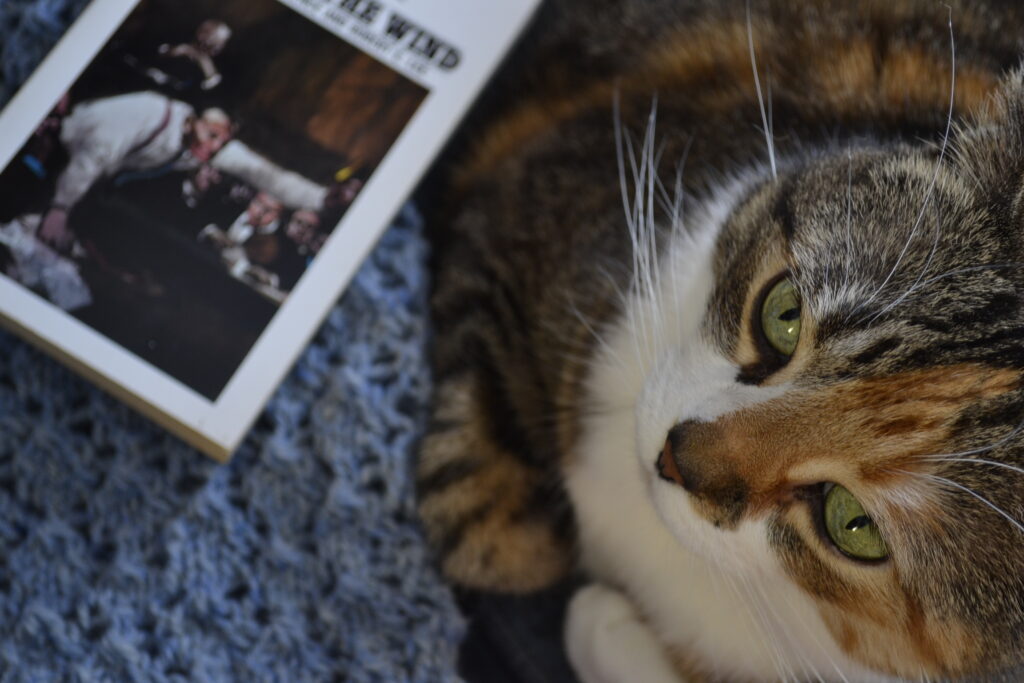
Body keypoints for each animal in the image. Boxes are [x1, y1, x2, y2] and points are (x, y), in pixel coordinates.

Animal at [411, 2, 1024, 679]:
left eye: (853, 524)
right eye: (783, 315)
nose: (673, 457)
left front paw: (600, 619)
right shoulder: (532, 198)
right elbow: (491, 533)